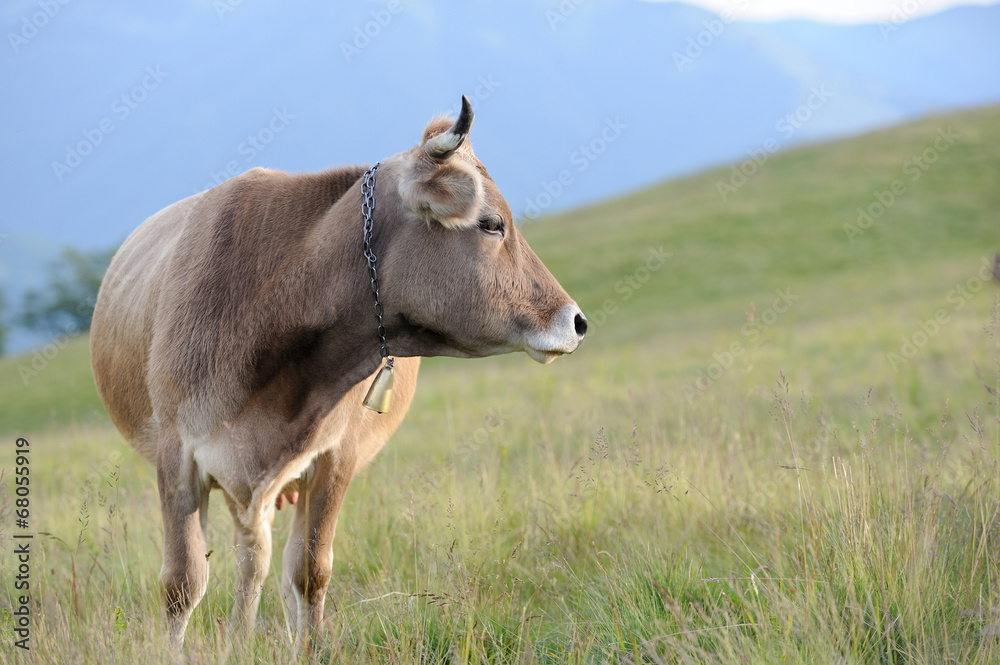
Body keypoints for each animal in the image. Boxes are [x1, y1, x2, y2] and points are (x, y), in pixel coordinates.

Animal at [90, 96, 584, 652]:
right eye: (492, 224)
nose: (576, 321)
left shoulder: (335, 457)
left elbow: (309, 572)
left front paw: (308, 649)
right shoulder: (177, 454)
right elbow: (182, 583)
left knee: (263, 561)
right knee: (251, 556)